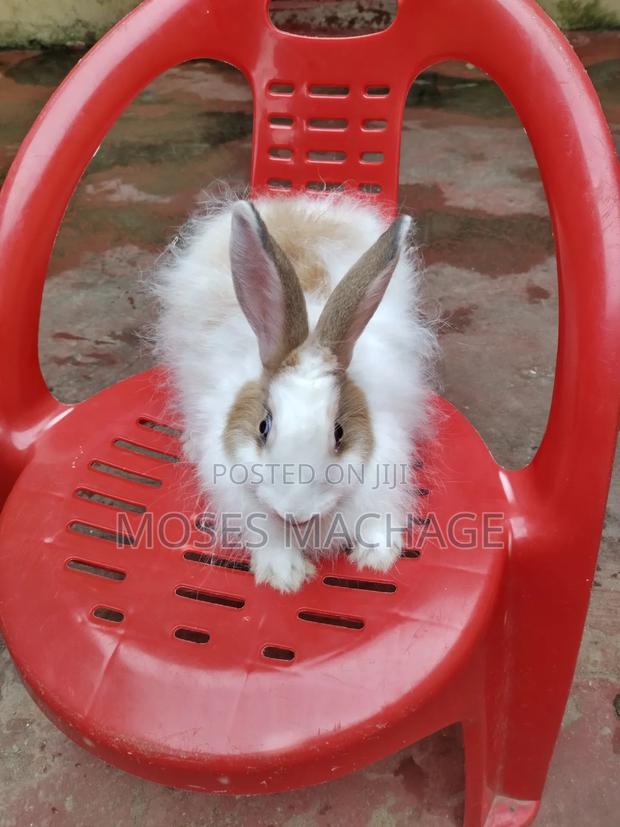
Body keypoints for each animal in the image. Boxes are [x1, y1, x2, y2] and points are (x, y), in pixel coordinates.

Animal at [153, 192, 437, 592]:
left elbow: (378, 519)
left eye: (339, 433)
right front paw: (285, 576)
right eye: (263, 427)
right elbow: (269, 538)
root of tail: (295, 205)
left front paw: (376, 558)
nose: (295, 514)